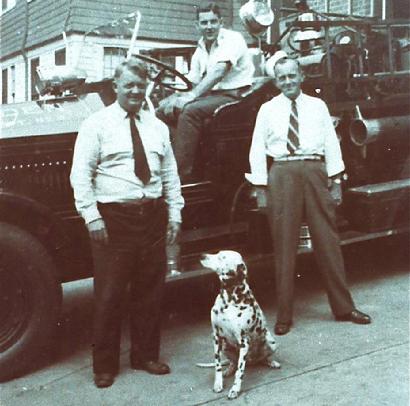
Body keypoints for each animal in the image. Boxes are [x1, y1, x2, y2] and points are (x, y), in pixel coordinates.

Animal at [200, 251, 280, 400]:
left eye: (222, 257)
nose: (202, 255)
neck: (229, 300)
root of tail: (252, 361)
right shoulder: (216, 337)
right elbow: (217, 365)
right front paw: (218, 383)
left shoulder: (244, 342)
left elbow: (240, 371)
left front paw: (235, 390)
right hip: (225, 346)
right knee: (233, 362)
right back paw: (228, 370)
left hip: (271, 342)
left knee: (262, 359)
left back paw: (271, 362)